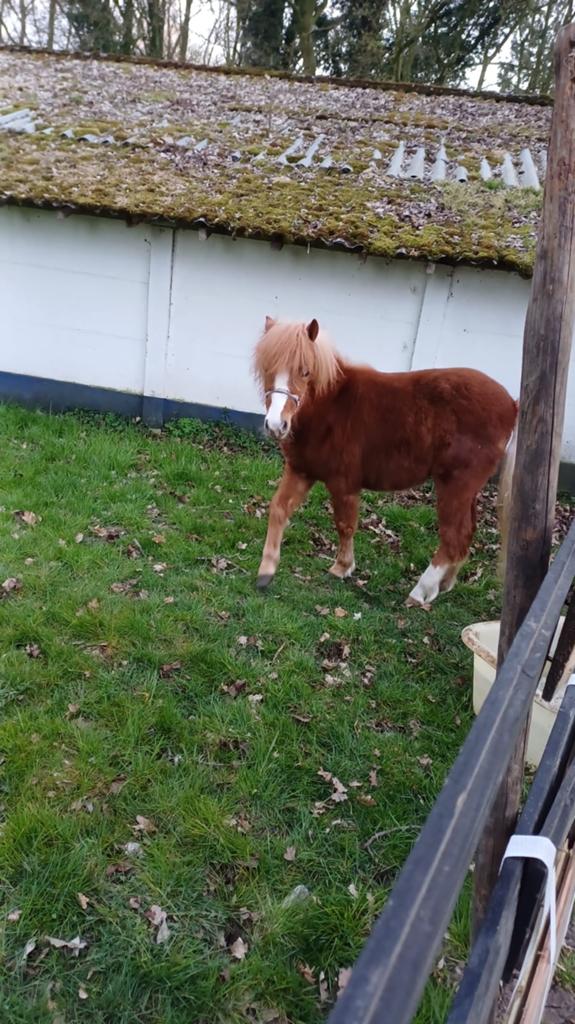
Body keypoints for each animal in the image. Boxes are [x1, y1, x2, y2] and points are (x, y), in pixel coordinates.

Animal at [252, 317, 518, 608]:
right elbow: (279, 509)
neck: (330, 407)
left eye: (305, 371)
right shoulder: (301, 471)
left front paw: (342, 567)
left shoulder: (343, 483)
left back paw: (420, 592)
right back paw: (444, 584)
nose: (276, 425)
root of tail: (513, 405)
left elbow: (345, 525)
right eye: (267, 368)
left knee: (453, 537)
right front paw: (266, 572)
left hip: (455, 486)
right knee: (466, 533)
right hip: (467, 491)